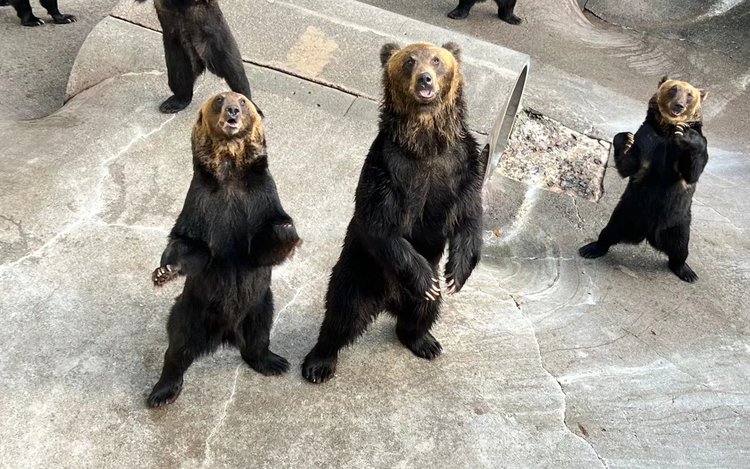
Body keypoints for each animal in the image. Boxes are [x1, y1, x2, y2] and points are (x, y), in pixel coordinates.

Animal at [147, 92, 299, 407]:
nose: (232, 111)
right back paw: (162, 390)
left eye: (242, 101)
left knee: (259, 334)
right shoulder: (202, 202)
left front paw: (286, 230)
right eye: (219, 99)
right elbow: (192, 244)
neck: (229, 172)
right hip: (193, 308)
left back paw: (273, 361)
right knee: (178, 344)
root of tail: (226, 334)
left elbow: (262, 247)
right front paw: (165, 271)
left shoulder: (259, 197)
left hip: (259, 304)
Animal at [301, 42, 485, 384]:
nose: (425, 79)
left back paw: (425, 342)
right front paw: (428, 280)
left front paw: (455, 275)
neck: (426, 144)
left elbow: (469, 217)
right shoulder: (387, 168)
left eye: (436, 60)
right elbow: (378, 223)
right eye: (410, 61)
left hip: (408, 300)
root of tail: (389, 302)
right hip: (359, 275)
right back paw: (319, 362)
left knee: (424, 312)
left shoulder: (462, 165)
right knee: (341, 315)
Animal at [579, 76, 709, 283]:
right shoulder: (648, 139)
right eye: (673, 89)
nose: (679, 106)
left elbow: (691, 171)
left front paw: (687, 134)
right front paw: (625, 139)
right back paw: (592, 248)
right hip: (627, 213)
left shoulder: (683, 154)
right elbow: (630, 165)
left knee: (680, 247)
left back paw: (686, 271)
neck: (666, 130)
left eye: (690, 95)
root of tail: (648, 234)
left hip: (678, 223)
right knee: (609, 231)